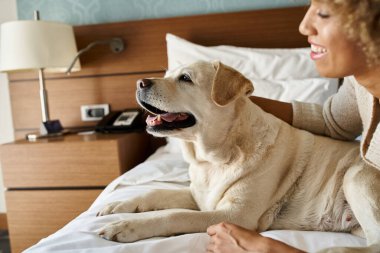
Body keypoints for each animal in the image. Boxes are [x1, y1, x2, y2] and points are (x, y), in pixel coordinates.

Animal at [97, 61, 380, 253]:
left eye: (185, 78)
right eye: (166, 75)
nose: (140, 82)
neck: (212, 158)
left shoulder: (236, 215)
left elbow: (174, 215)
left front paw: (125, 226)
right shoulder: (201, 196)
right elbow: (155, 193)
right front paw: (118, 206)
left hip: (355, 177)